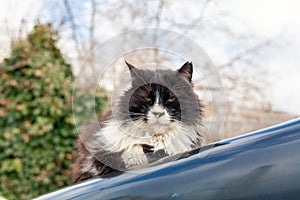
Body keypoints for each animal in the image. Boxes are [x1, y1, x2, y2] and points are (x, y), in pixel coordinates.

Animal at [72, 61, 204, 184]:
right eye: (147, 98)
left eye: (171, 98)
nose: (157, 113)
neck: (153, 137)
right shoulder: (97, 154)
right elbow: (130, 146)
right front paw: (134, 157)